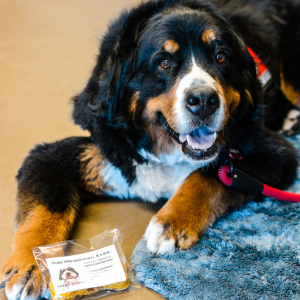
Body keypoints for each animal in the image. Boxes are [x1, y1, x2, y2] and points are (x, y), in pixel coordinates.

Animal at [0, 0, 300, 298]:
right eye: (164, 63)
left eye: (220, 57)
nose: (204, 100)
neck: (169, 153)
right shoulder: (69, 157)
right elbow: (45, 208)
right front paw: (30, 266)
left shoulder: (273, 153)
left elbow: (206, 177)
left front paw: (171, 224)